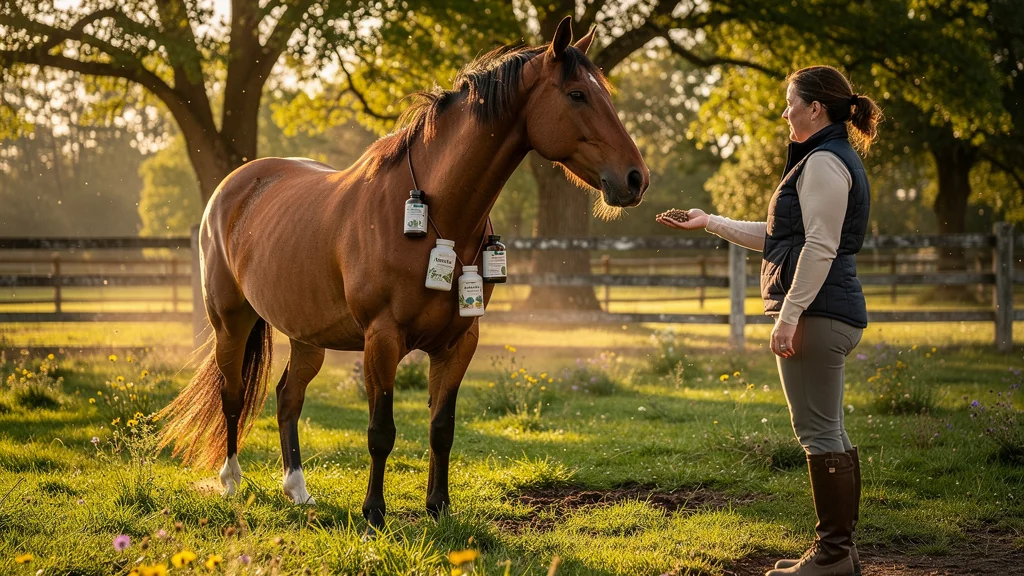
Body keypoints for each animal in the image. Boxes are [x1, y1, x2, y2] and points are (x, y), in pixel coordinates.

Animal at [157, 16, 649, 531]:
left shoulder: (458, 343)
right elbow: (381, 430)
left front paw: (439, 506)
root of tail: (233, 187)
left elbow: (441, 428)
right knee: (232, 395)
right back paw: (230, 480)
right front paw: (374, 511)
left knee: (288, 397)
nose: (635, 178)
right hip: (231, 323)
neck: (431, 215)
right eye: (577, 94)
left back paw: (297, 489)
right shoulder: (382, 338)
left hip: (307, 336)